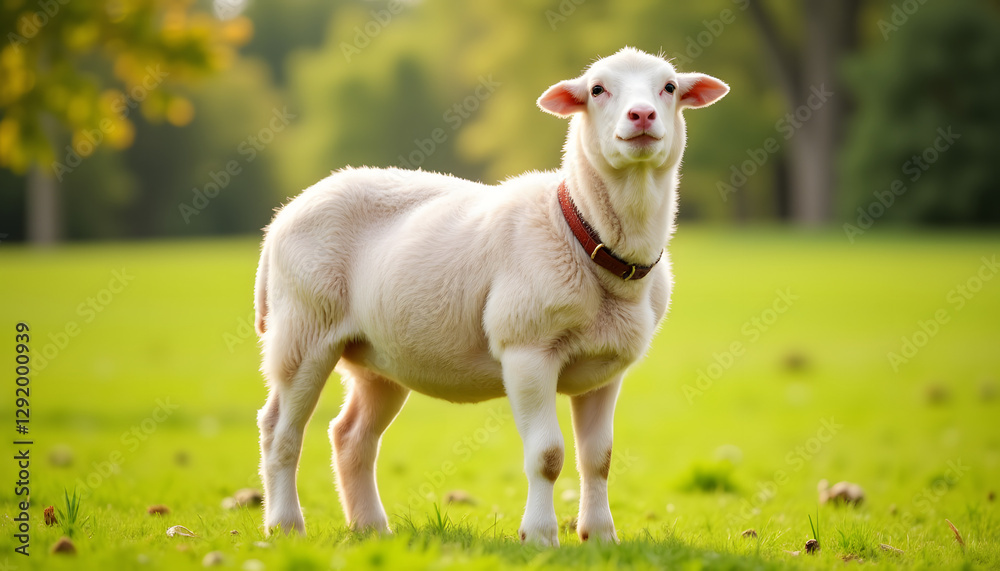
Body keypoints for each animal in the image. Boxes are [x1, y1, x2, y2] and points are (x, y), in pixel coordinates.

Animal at [253, 47, 728, 546]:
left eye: (669, 87)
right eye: (597, 89)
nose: (642, 115)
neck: (583, 232)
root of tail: (283, 215)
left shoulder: (606, 368)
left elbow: (599, 458)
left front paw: (600, 537)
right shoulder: (526, 350)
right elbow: (548, 455)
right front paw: (539, 536)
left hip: (377, 356)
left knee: (351, 436)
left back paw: (371, 528)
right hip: (303, 327)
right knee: (279, 430)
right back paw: (285, 525)